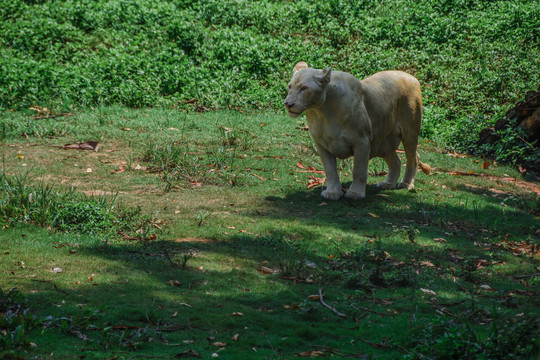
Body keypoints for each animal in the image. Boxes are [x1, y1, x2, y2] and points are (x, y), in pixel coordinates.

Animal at [282, 61, 430, 200]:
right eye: (290, 87)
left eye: (304, 88)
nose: (288, 104)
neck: (322, 112)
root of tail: (410, 76)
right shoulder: (322, 145)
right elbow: (330, 171)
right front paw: (332, 193)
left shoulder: (362, 141)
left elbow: (358, 170)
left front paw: (355, 193)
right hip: (383, 144)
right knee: (396, 161)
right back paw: (388, 184)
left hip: (410, 132)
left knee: (413, 158)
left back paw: (406, 184)